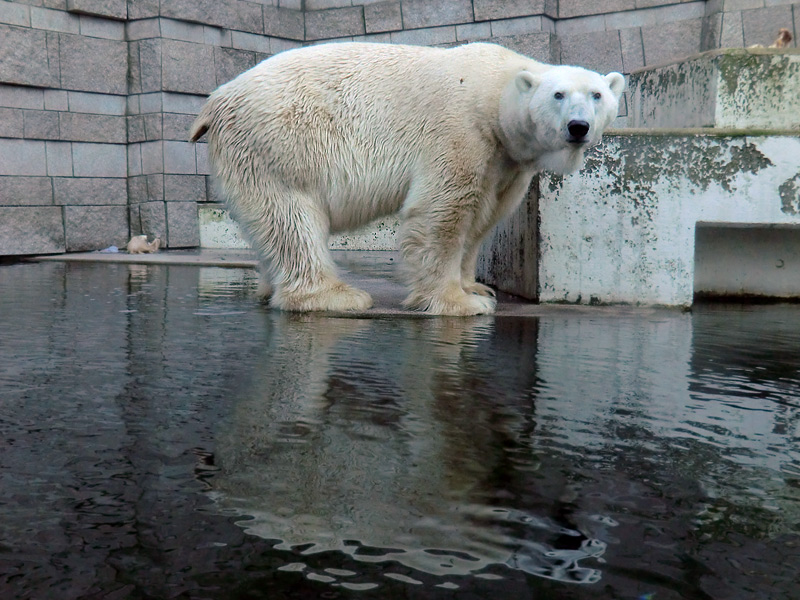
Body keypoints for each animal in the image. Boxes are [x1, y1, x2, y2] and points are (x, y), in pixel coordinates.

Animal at [189, 41, 624, 316]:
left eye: (597, 94)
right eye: (558, 94)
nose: (579, 127)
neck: (494, 92)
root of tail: (216, 100)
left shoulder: (506, 161)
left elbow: (483, 218)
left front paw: (475, 286)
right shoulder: (458, 131)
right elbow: (443, 213)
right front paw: (460, 303)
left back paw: (269, 286)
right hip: (282, 141)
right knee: (291, 215)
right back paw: (334, 296)